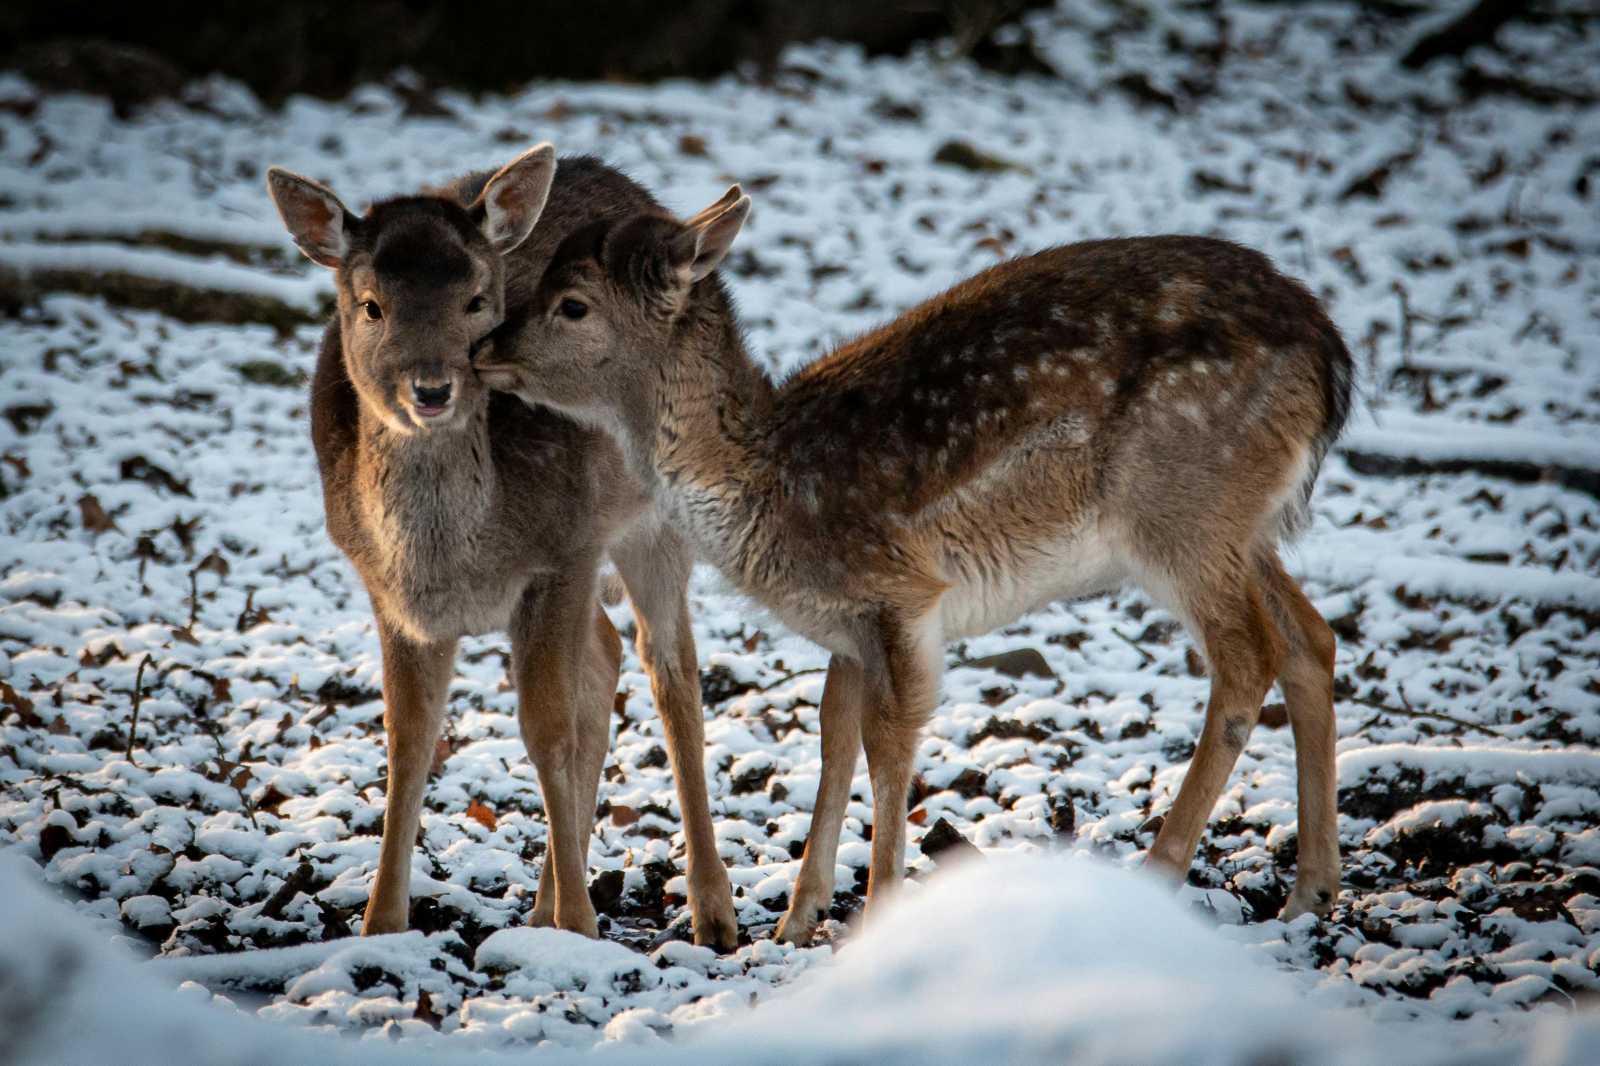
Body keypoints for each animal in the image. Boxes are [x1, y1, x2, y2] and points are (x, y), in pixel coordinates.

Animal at [262, 143, 736, 947]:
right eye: (371, 305)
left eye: (476, 300)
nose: (431, 389)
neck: (457, 560)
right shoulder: (388, 592)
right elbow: (409, 741)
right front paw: (379, 924)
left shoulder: (564, 552)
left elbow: (548, 732)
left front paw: (580, 927)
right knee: (606, 654)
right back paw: (545, 904)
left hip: (656, 517)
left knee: (668, 671)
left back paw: (711, 910)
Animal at [473, 184, 1350, 941]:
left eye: (573, 303)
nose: (484, 347)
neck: (771, 489)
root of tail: (1333, 361)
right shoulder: (851, 621)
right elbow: (834, 731)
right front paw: (797, 918)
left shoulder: (901, 591)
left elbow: (889, 741)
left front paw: (875, 908)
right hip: (1241, 524)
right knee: (1312, 637)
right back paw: (1311, 889)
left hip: (1181, 508)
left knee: (1247, 656)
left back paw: (1163, 869)